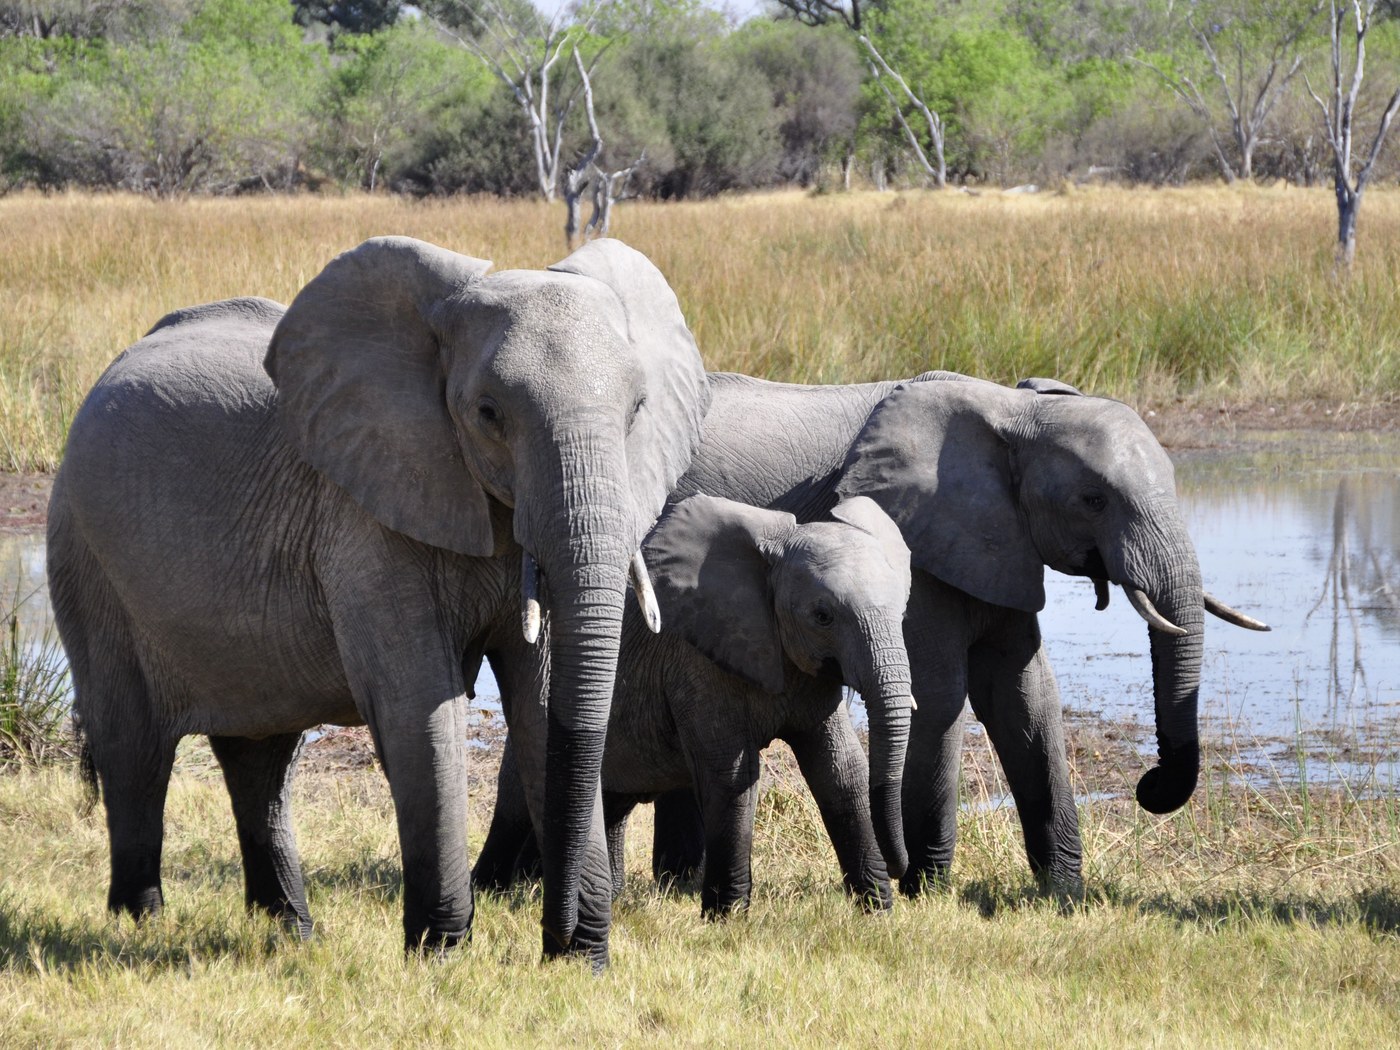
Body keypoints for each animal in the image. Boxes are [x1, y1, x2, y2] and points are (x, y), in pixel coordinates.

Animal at [46, 236, 708, 963]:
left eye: (638, 410)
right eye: (488, 414)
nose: (558, 937)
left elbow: (540, 705)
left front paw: (579, 963)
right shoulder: (363, 517)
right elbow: (420, 705)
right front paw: (440, 955)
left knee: (261, 757)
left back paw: (291, 934)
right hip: (84, 552)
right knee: (133, 746)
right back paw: (140, 923)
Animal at [475, 492, 915, 915]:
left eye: (902, 611)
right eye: (822, 616)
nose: (901, 868)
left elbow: (841, 771)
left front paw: (877, 911)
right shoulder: (694, 662)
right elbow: (732, 776)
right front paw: (727, 917)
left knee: (612, 802)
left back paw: (603, 896)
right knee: (518, 797)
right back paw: (490, 892)